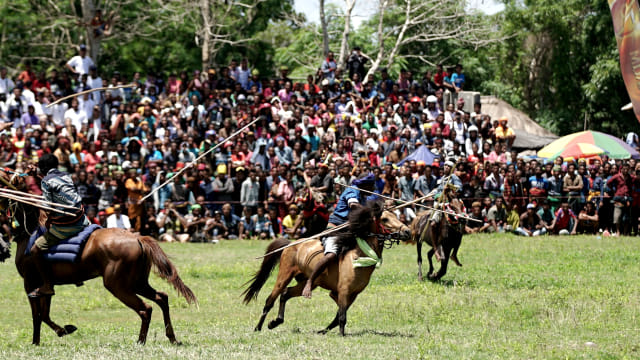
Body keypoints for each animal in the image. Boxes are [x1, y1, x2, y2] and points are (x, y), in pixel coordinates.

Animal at [0, 172, 198, 346]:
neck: (32, 229)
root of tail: (138, 239)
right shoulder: (43, 285)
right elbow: (44, 314)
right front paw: (62, 331)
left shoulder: (30, 283)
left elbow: (37, 316)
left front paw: (38, 341)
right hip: (137, 282)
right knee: (161, 298)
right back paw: (172, 338)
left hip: (118, 285)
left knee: (145, 309)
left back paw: (140, 342)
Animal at [242, 202, 408, 338]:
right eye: (385, 219)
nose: (406, 231)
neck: (359, 255)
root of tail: (290, 243)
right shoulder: (343, 290)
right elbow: (342, 316)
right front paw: (341, 335)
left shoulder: (352, 294)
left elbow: (338, 316)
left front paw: (323, 331)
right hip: (284, 275)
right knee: (270, 300)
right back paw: (258, 327)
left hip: (307, 282)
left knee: (286, 294)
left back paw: (276, 321)